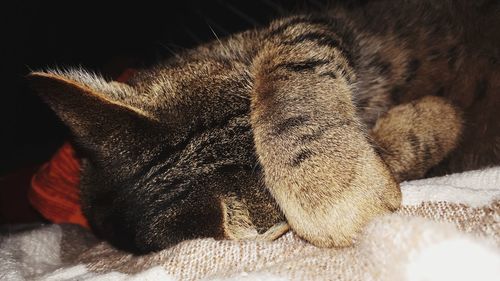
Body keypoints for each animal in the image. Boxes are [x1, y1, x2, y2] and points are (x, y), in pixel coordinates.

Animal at [28, 0, 500, 253]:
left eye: (248, 84)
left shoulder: (300, 27)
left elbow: (288, 72)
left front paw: (325, 178)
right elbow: (396, 147)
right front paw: (435, 117)